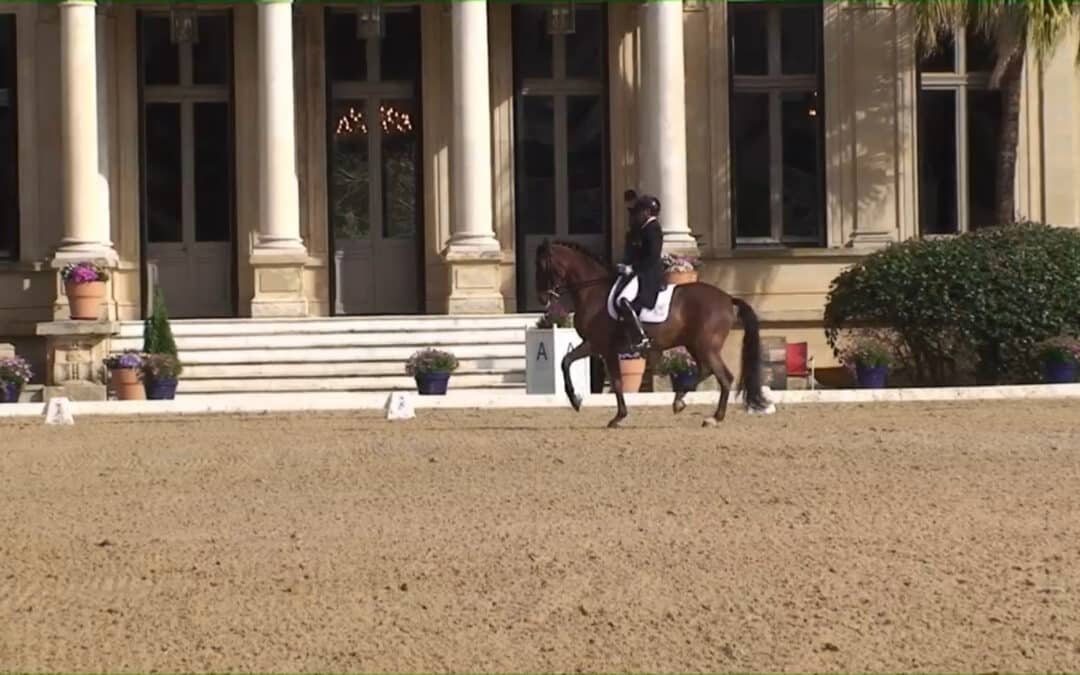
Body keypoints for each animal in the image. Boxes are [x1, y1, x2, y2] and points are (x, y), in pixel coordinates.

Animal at [533, 240, 768, 425]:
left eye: (543, 266)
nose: (542, 299)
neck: (592, 292)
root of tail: (728, 299)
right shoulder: (604, 349)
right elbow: (603, 376)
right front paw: (613, 414)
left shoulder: (598, 344)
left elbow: (575, 365)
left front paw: (579, 402)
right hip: (694, 344)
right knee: (705, 370)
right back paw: (679, 401)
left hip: (706, 346)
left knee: (724, 377)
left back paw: (713, 418)